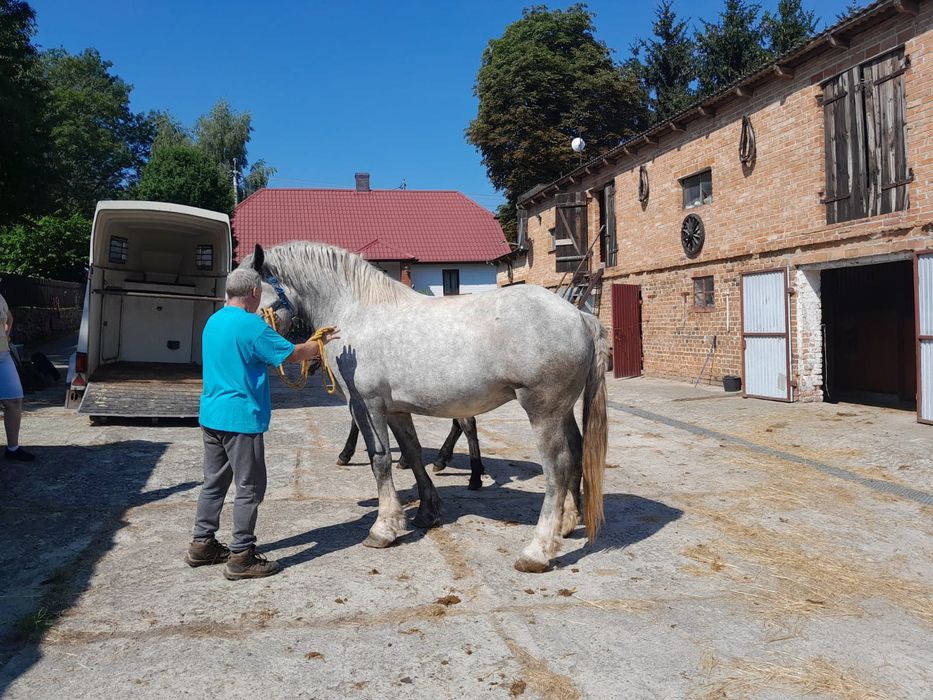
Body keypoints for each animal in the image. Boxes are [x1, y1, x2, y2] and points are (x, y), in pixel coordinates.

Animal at [248, 243, 608, 572]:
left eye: (251, 300)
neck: (356, 310)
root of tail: (580, 316)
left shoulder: (367, 406)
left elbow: (380, 461)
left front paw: (383, 529)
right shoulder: (395, 410)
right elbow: (414, 453)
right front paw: (426, 512)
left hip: (542, 411)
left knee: (558, 466)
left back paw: (537, 551)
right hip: (562, 410)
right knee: (576, 451)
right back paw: (565, 524)